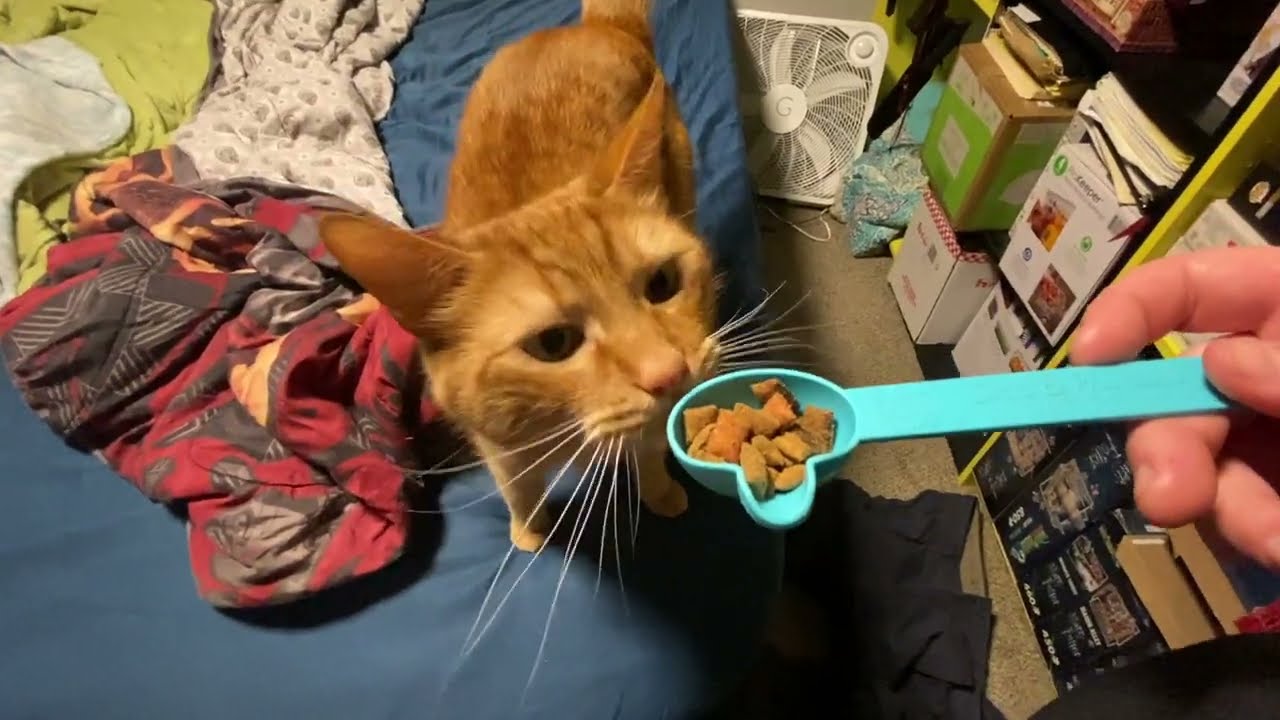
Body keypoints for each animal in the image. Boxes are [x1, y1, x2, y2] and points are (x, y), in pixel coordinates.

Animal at [318, 0, 720, 553]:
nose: (670, 373)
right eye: (553, 343)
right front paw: (529, 530)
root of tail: (592, 27)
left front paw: (659, 489)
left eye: (662, 285)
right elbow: (518, 488)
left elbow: (650, 450)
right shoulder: (498, 448)